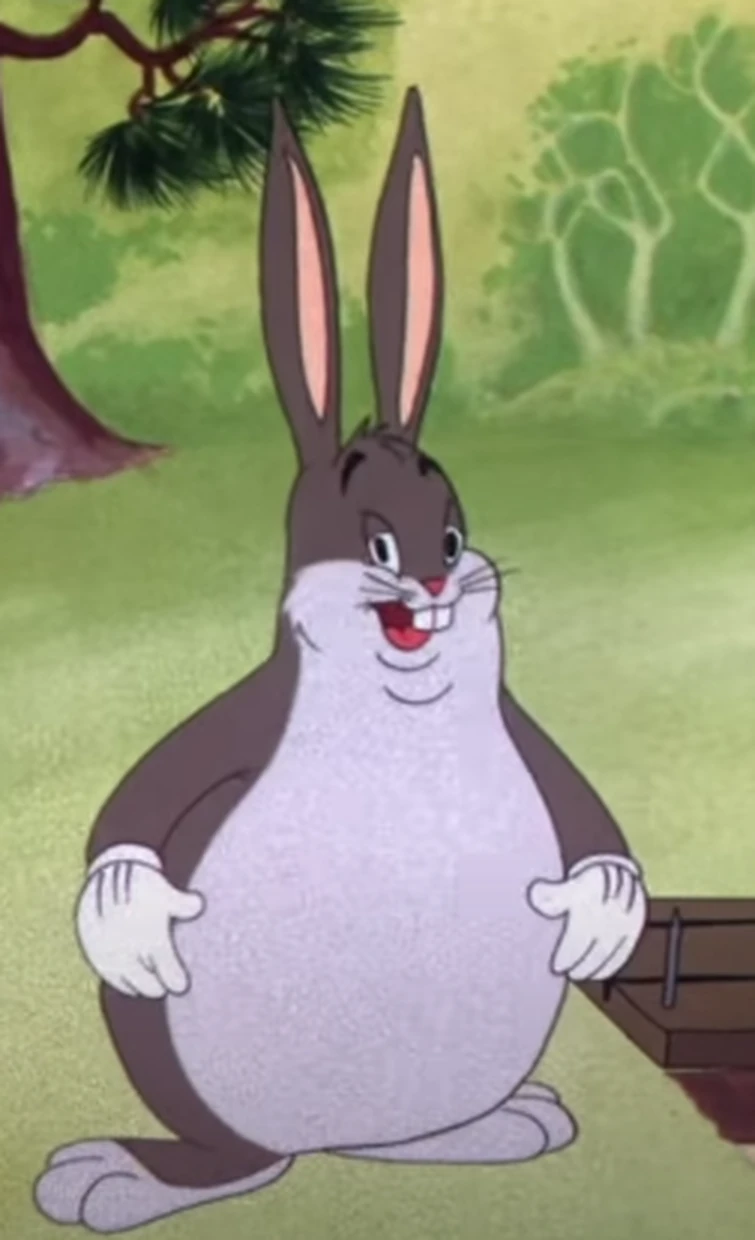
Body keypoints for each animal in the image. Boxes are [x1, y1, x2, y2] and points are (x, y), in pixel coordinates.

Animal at [34, 87, 648, 1234]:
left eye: (450, 538)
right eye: (379, 547)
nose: (436, 591)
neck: (399, 710)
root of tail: (325, 1147)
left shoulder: (525, 734)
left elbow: (587, 819)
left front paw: (601, 920)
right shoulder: (235, 727)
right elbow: (136, 806)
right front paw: (131, 923)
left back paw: (494, 1128)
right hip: (222, 1105)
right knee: (232, 1154)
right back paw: (130, 1176)